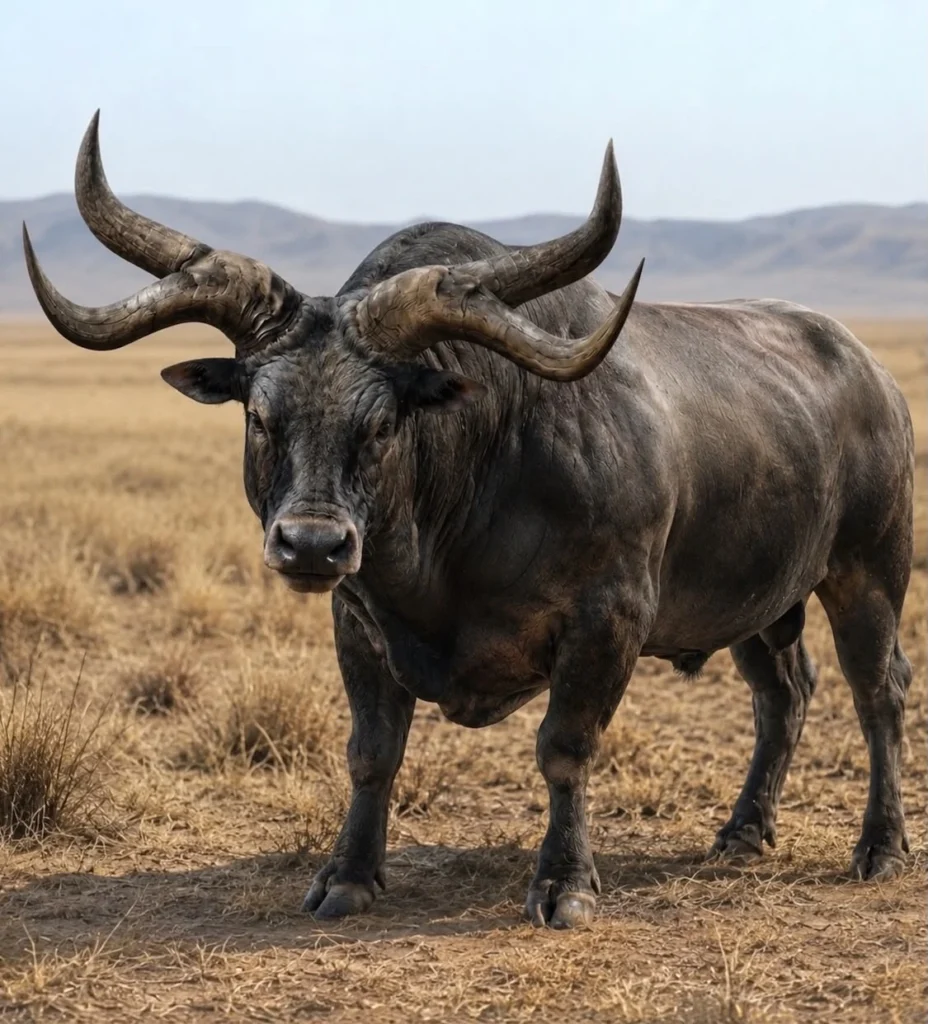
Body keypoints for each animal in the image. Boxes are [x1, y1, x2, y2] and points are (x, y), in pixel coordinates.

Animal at [23, 112, 914, 929]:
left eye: (383, 422)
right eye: (260, 417)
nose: (312, 545)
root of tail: (874, 375)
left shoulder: (608, 621)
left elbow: (564, 749)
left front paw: (564, 883)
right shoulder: (359, 624)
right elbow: (372, 754)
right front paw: (347, 876)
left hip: (868, 576)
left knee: (878, 694)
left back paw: (880, 847)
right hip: (759, 610)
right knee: (784, 695)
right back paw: (742, 832)